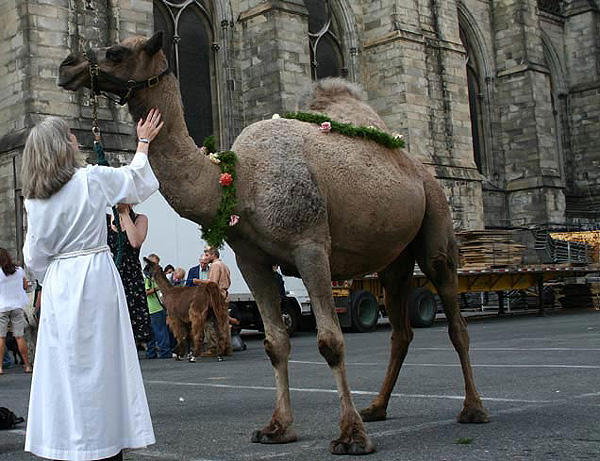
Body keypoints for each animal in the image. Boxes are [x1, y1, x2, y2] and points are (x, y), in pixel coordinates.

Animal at [57, 31, 488, 452]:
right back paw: (378, 407)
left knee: (455, 321)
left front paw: (351, 435)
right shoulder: (252, 259)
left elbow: (330, 340)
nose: (67, 65)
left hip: (436, 224)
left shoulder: (311, 247)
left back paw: (472, 409)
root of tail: (417, 168)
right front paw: (277, 428)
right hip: (394, 256)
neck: (238, 180)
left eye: (116, 51)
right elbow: (274, 343)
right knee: (401, 330)